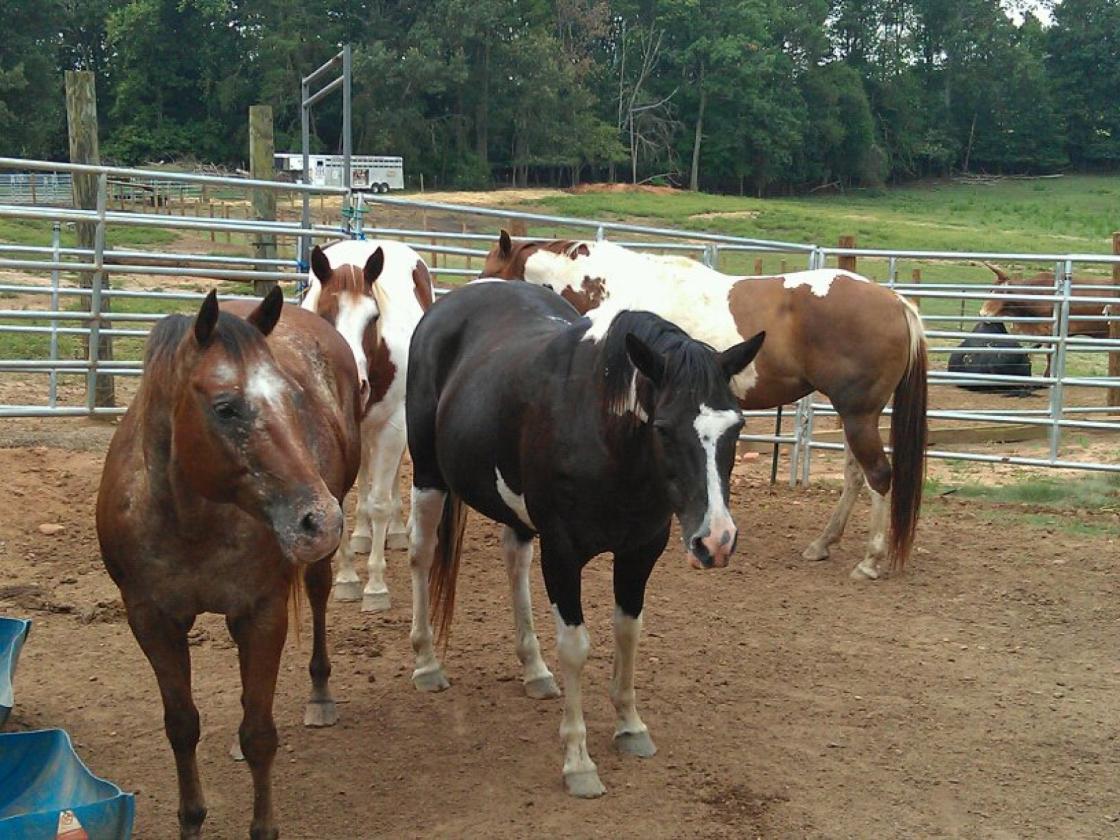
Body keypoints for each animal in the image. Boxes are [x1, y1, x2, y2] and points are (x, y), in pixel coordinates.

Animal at [96, 288, 362, 840]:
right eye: (226, 408)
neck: (188, 517)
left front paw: (263, 827)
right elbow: (182, 726)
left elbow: (260, 733)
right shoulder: (151, 620)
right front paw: (191, 820)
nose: (320, 519)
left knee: (320, 595)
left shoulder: (262, 614)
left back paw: (320, 694)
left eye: (293, 399)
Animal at [301, 239, 434, 612]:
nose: (356, 386)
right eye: (324, 314)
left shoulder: (393, 428)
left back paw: (397, 531)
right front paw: (347, 579)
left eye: (373, 317)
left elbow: (379, 503)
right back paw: (362, 536)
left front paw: (375, 586)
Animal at [406, 280, 764, 798]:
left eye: (736, 426)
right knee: (421, 552)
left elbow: (628, 631)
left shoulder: (640, 552)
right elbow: (576, 647)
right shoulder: (562, 553)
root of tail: (451, 301)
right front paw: (578, 761)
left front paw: (630, 726)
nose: (715, 540)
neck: (605, 435)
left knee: (514, 559)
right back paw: (427, 663)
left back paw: (534, 670)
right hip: (427, 475)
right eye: (663, 428)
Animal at [482, 232, 928, 580]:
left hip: (858, 415)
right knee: (856, 475)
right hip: (854, 414)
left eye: (490, 272)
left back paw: (870, 561)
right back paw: (823, 544)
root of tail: (896, 302)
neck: (617, 290)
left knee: (878, 475)